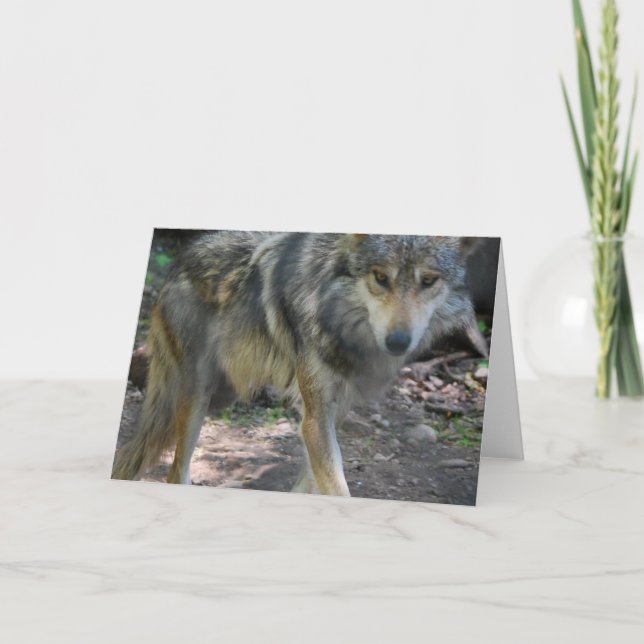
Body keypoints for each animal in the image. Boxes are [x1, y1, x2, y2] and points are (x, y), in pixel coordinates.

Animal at [112, 231, 481, 497]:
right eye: (380, 277)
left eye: (428, 281)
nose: (398, 342)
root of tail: (177, 263)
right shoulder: (315, 417)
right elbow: (336, 487)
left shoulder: (330, 412)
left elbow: (313, 481)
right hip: (197, 400)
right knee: (175, 473)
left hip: (223, 396)